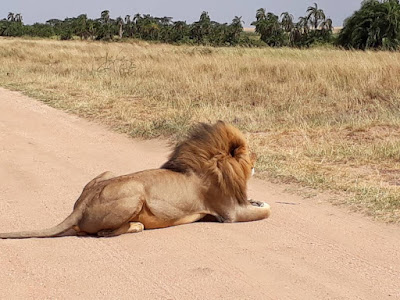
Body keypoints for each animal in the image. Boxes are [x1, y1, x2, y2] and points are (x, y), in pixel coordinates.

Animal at [0, 120, 272, 239]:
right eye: (249, 153)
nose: (259, 159)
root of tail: (80, 207)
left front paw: (259, 201)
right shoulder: (229, 214)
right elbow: (265, 213)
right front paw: (265, 205)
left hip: (107, 173)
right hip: (135, 190)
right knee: (102, 233)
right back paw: (136, 226)